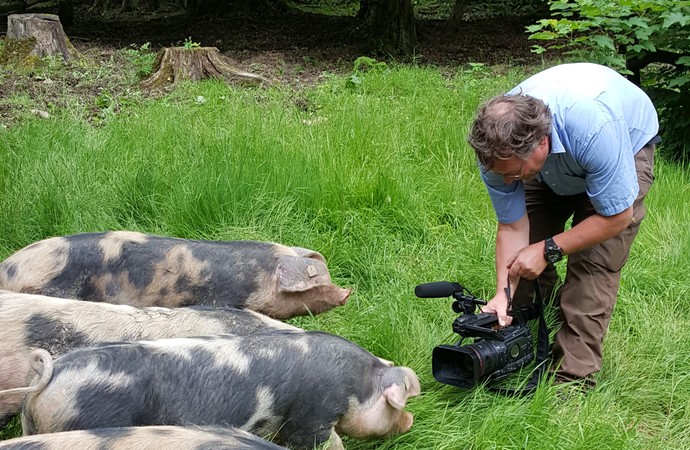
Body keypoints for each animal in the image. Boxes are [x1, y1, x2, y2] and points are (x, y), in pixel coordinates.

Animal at [18, 330, 422, 450]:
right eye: (397, 403)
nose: (411, 421)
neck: (359, 385)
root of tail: (51, 376)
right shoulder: (314, 413)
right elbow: (323, 441)